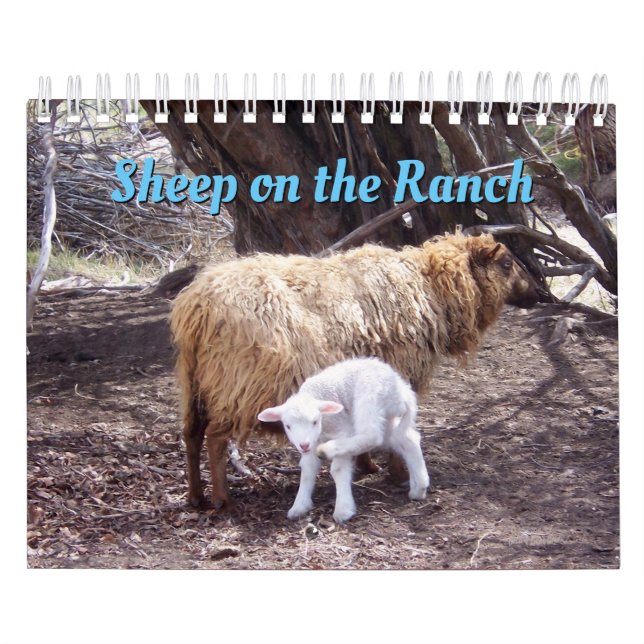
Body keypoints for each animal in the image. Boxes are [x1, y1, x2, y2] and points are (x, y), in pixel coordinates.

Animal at [257, 357, 429, 523]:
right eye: (288, 426)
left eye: (315, 421)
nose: (303, 445)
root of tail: (403, 390)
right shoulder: (312, 442)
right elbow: (307, 470)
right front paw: (299, 506)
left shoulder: (341, 429)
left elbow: (338, 470)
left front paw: (343, 509)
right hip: (386, 415)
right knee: (408, 440)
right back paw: (419, 488)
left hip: (370, 395)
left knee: (372, 435)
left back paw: (326, 450)